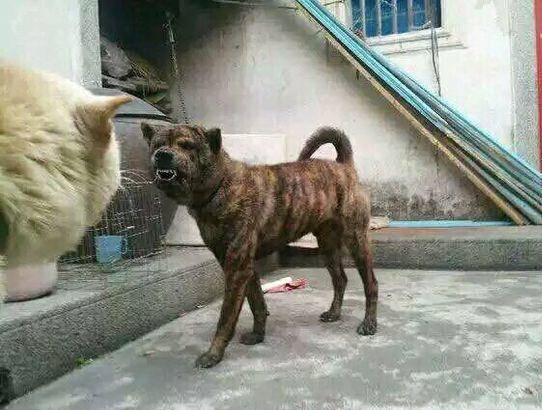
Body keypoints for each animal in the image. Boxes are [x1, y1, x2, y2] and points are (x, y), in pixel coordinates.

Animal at [141, 123, 378, 368]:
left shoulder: (237, 268)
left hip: (356, 241)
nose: (162, 155)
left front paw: (214, 354)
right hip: (327, 246)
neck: (221, 184)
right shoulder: (243, 266)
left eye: (187, 145)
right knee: (340, 279)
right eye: (157, 144)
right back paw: (334, 313)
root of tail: (344, 166)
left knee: (371, 284)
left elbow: (226, 317)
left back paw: (369, 323)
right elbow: (257, 303)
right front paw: (258, 334)